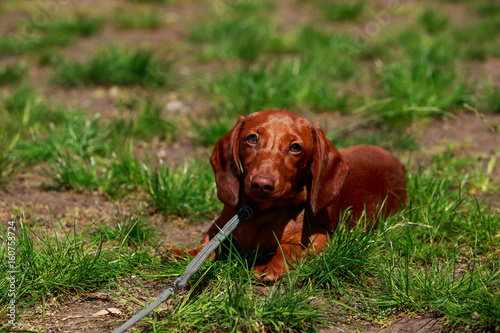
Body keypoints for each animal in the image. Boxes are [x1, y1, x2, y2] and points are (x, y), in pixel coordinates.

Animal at [172, 110, 406, 282]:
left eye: (295, 147)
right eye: (251, 138)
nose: (261, 184)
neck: (259, 212)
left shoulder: (321, 238)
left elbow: (287, 248)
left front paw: (269, 266)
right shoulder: (221, 226)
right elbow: (207, 245)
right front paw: (187, 253)